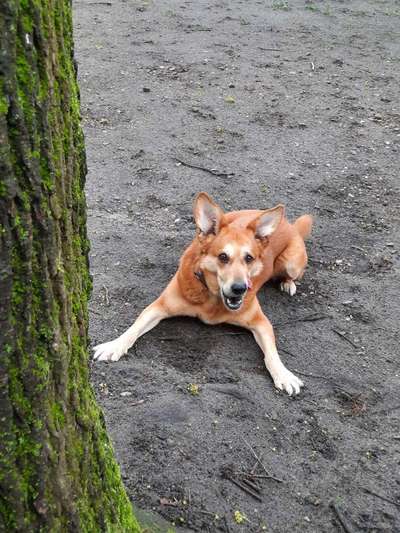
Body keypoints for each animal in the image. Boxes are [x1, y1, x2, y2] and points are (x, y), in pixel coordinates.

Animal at [94, 193, 312, 392]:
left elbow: (272, 353)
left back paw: (288, 283)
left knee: (292, 273)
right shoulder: (159, 307)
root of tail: (290, 225)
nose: (240, 288)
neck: (212, 298)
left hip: (292, 263)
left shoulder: (261, 322)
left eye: (249, 258)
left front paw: (283, 374)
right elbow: (134, 327)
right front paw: (114, 346)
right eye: (223, 257)